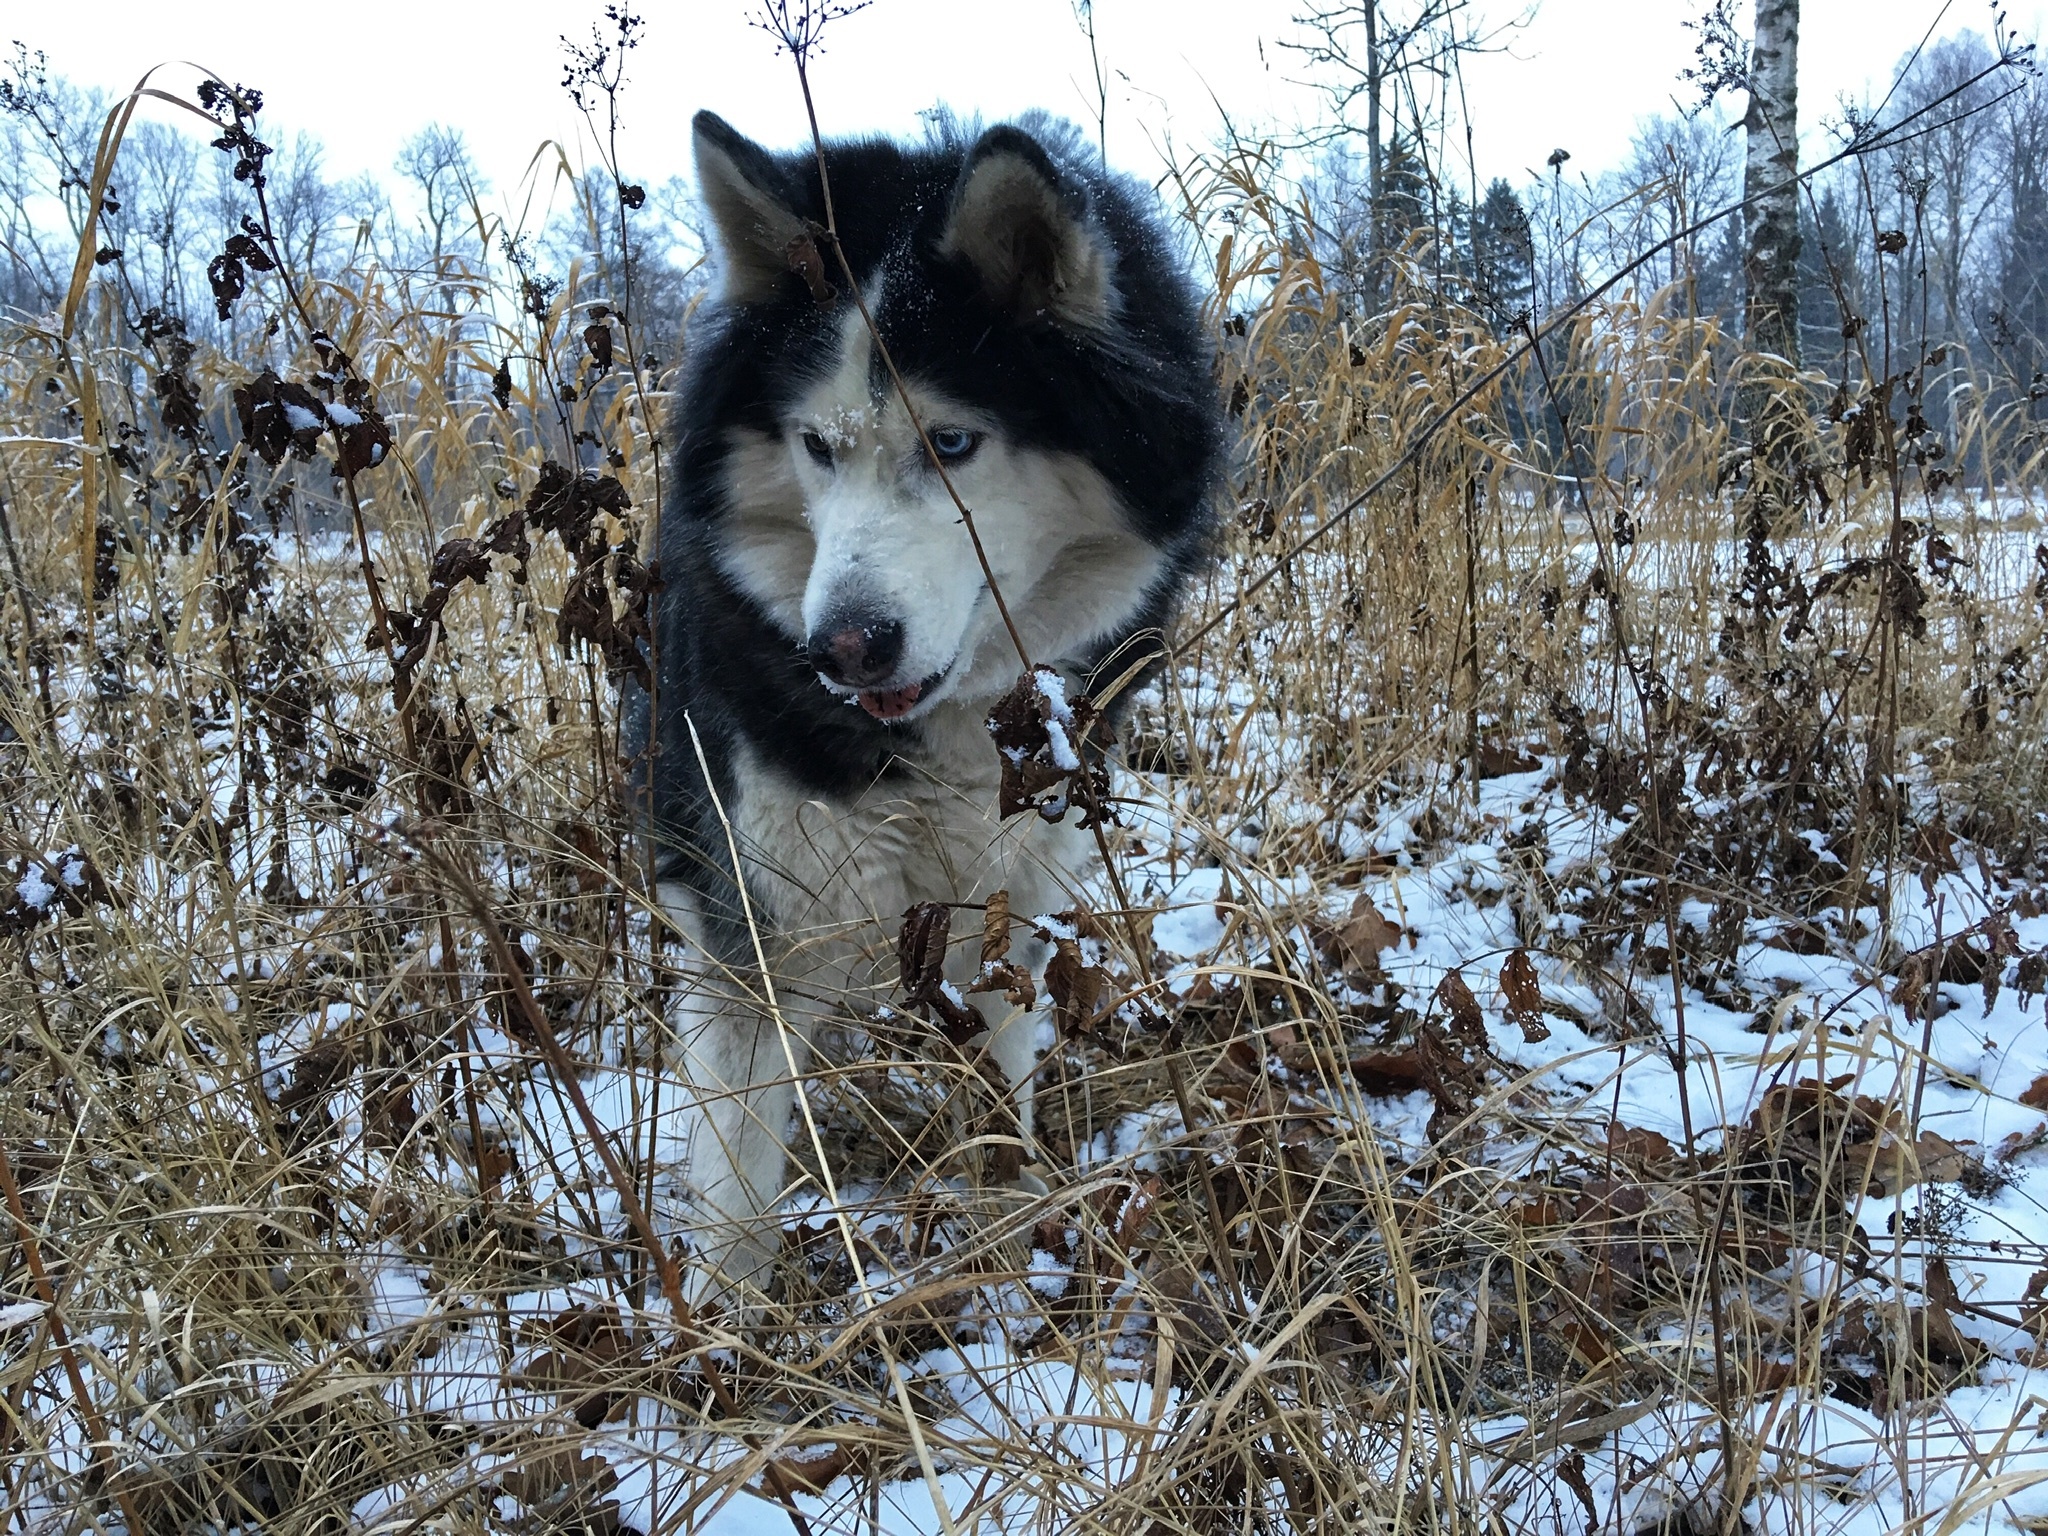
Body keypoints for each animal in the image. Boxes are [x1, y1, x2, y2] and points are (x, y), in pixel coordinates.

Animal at [630, 114, 1220, 1302]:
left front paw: (1009, 1228)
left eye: (951, 444)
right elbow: (738, 1179)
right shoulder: (761, 916)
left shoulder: (1018, 886)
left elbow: (1002, 1075)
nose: (839, 650)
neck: (945, 735)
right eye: (816, 445)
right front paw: (720, 1331)